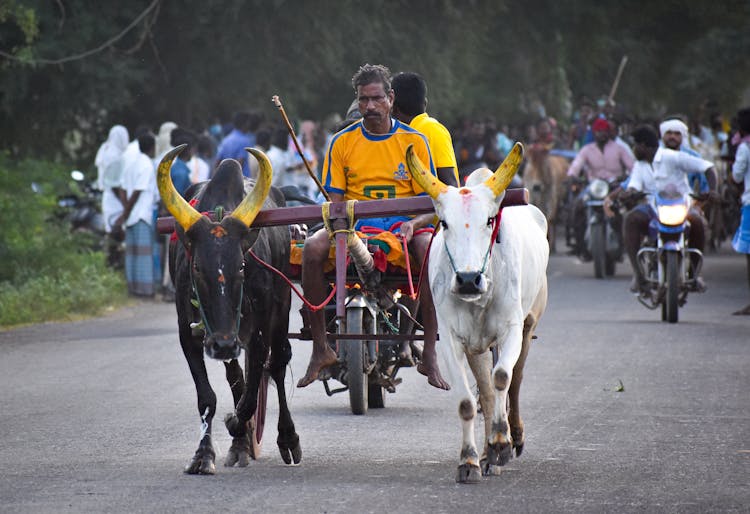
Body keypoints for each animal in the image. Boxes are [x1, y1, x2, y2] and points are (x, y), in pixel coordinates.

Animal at [160, 144, 302, 472]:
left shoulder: (259, 332)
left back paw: (287, 438)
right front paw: (203, 454)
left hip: (280, 312)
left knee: (277, 366)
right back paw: (240, 447)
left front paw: (235, 423)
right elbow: (208, 397)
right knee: (238, 377)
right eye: (197, 267)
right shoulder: (189, 334)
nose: (223, 344)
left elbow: (249, 398)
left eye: (240, 265)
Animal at [408, 142, 548, 482]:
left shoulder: (511, 329)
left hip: (529, 325)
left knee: (515, 379)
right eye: (444, 223)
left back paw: (513, 437)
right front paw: (470, 460)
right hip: (478, 346)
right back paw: (486, 455)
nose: (469, 279)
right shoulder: (453, 341)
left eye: (489, 220)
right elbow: (468, 402)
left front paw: (501, 440)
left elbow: (502, 378)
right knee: (485, 393)